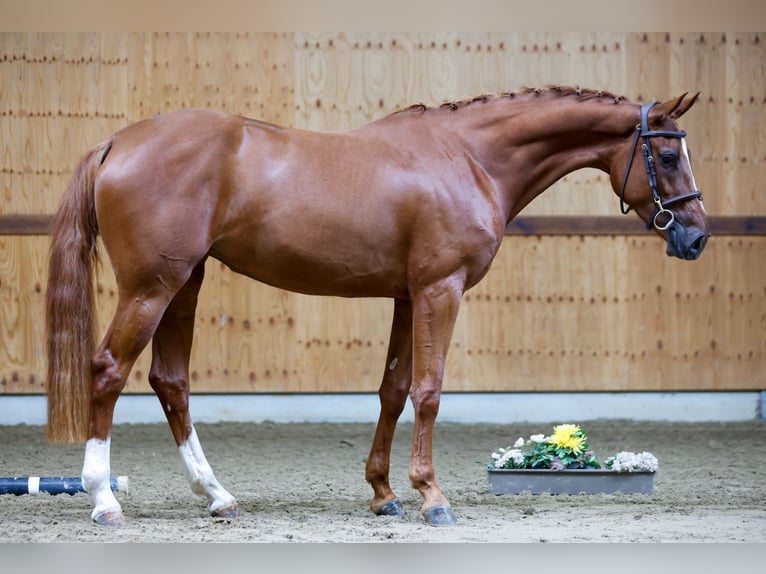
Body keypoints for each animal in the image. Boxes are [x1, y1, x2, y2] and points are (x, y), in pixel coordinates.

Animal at [45, 85, 712, 528]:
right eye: (668, 156)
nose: (697, 237)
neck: (468, 158)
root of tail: (117, 141)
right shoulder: (441, 290)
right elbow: (429, 390)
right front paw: (432, 497)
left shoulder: (406, 296)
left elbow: (393, 390)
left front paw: (384, 493)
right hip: (152, 289)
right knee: (108, 371)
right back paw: (103, 499)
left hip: (183, 286)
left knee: (170, 381)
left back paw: (217, 495)